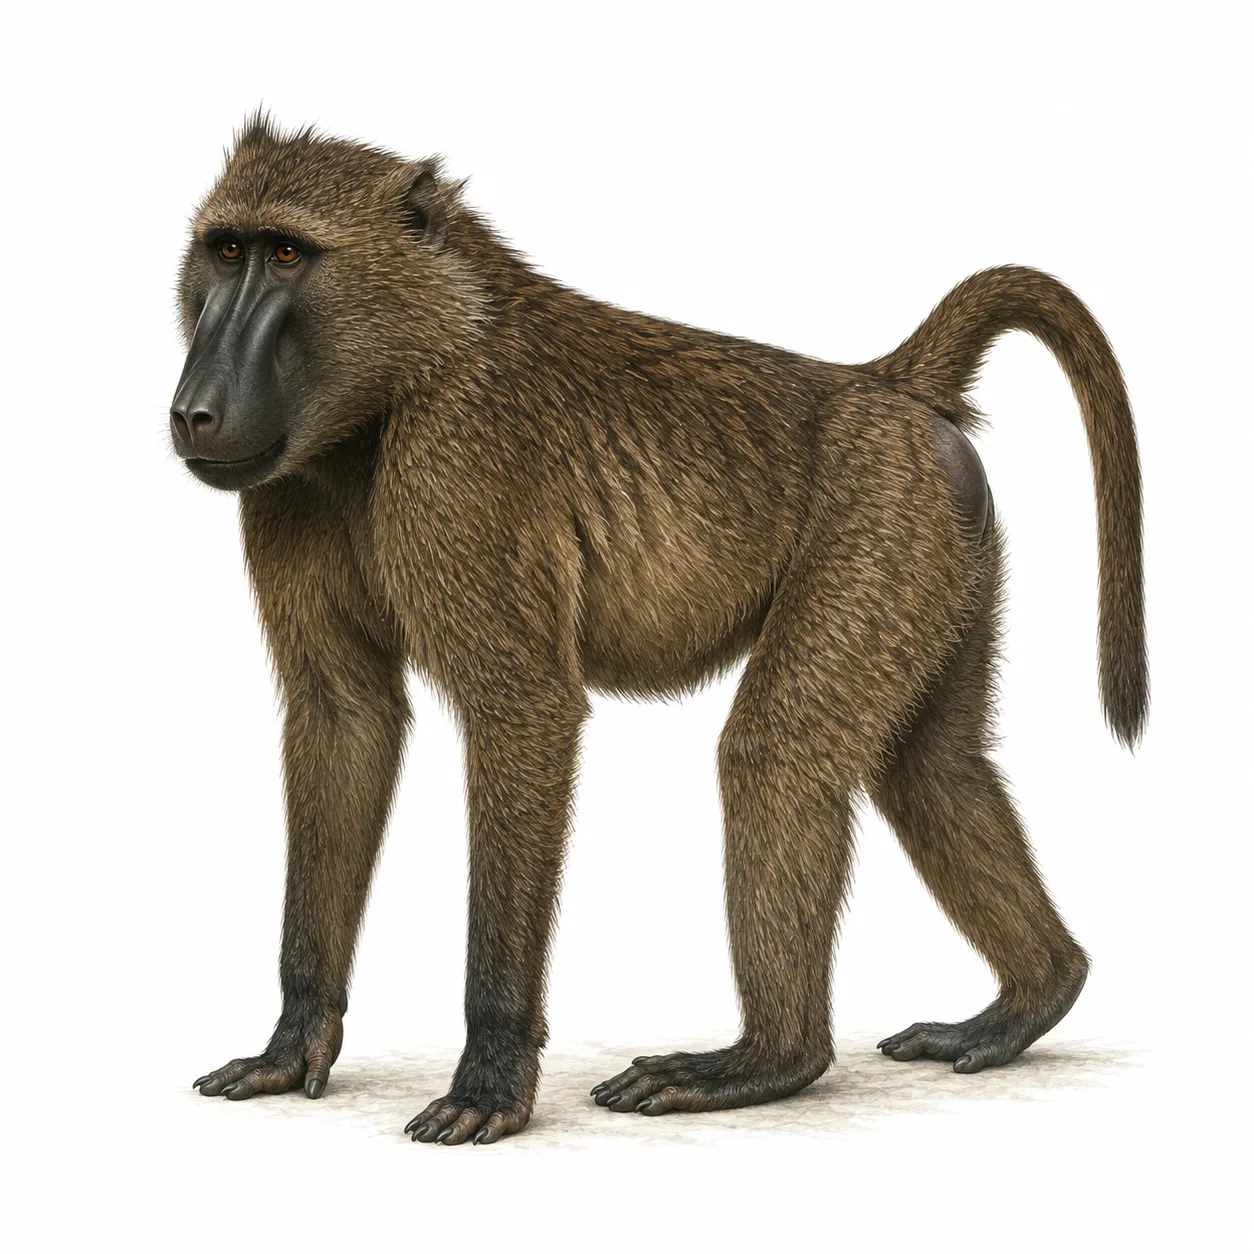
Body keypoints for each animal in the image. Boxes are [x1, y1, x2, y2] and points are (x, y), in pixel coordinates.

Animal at [173, 115, 1146, 1146]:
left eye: (286, 255)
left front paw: (491, 1081)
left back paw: (768, 1060)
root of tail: (880, 387)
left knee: (777, 757)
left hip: (883, 516)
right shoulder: (288, 490)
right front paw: (292, 1045)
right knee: (931, 766)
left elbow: (524, 710)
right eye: (225, 251)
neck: (406, 375)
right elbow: (344, 716)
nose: (195, 411)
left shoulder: (460, 469)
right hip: (945, 544)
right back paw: (1031, 998)